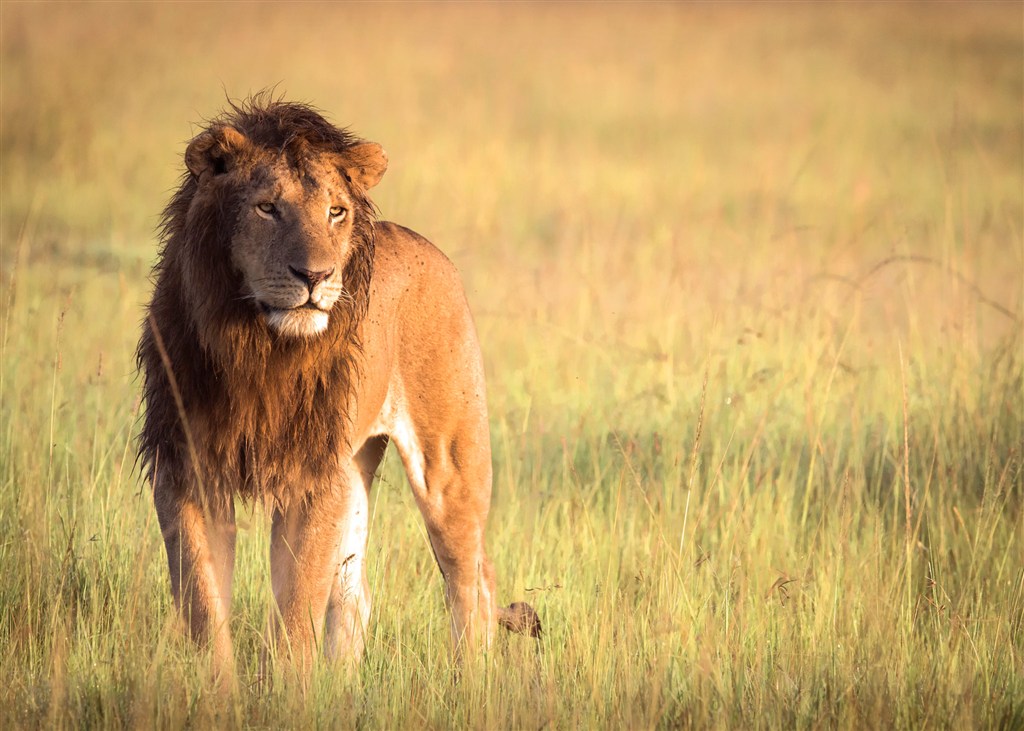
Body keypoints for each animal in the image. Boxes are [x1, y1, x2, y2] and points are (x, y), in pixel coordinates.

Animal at [136, 96, 544, 675]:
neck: (257, 348)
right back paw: (345, 681)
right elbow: (202, 599)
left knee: (473, 577)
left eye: (335, 212)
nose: (316, 276)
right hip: (353, 466)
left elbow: (295, 607)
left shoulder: (311, 477)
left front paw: (285, 687)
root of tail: (427, 246)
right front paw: (218, 688)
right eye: (267, 208)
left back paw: (471, 680)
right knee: (356, 590)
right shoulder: (187, 467)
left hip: (449, 464)